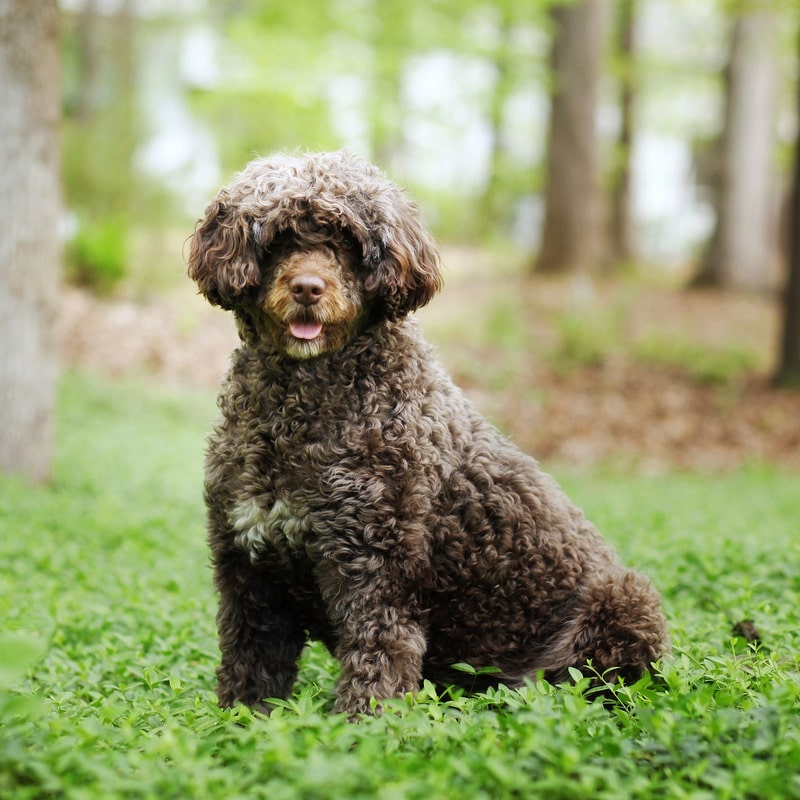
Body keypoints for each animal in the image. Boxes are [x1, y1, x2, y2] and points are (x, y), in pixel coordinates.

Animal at [188, 150, 668, 720]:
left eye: (346, 240)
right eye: (279, 237)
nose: (307, 288)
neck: (300, 405)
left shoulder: (377, 572)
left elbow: (376, 663)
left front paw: (361, 727)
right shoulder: (249, 568)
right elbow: (250, 666)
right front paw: (235, 723)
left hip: (624, 602)